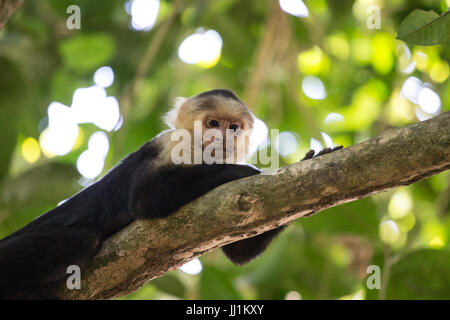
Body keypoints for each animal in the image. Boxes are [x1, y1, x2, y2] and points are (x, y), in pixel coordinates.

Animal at [0, 88, 342, 298]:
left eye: (233, 127)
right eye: (213, 123)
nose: (223, 138)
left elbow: (240, 252)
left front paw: (310, 163)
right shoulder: (170, 144)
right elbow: (145, 197)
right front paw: (246, 172)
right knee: (82, 241)